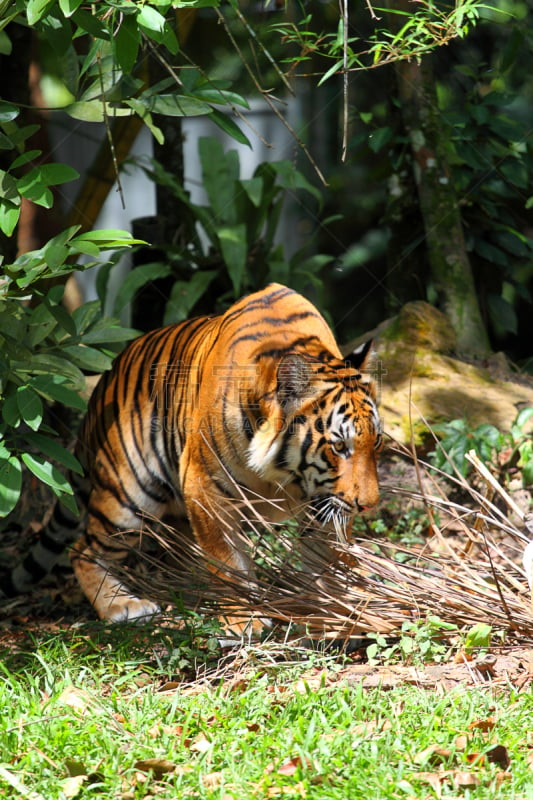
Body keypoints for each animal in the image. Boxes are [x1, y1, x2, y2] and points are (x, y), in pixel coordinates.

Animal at [1, 284, 382, 636]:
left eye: (375, 443)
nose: (368, 505)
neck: (285, 477)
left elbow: (326, 554)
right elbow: (226, 560)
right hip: (130, 498)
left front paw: (341, 605)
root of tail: (101, 390)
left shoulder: (324, 501)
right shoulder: (204, 487)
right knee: (81, 550)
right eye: (339, 447)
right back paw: (122, 607)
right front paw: (242, 619)